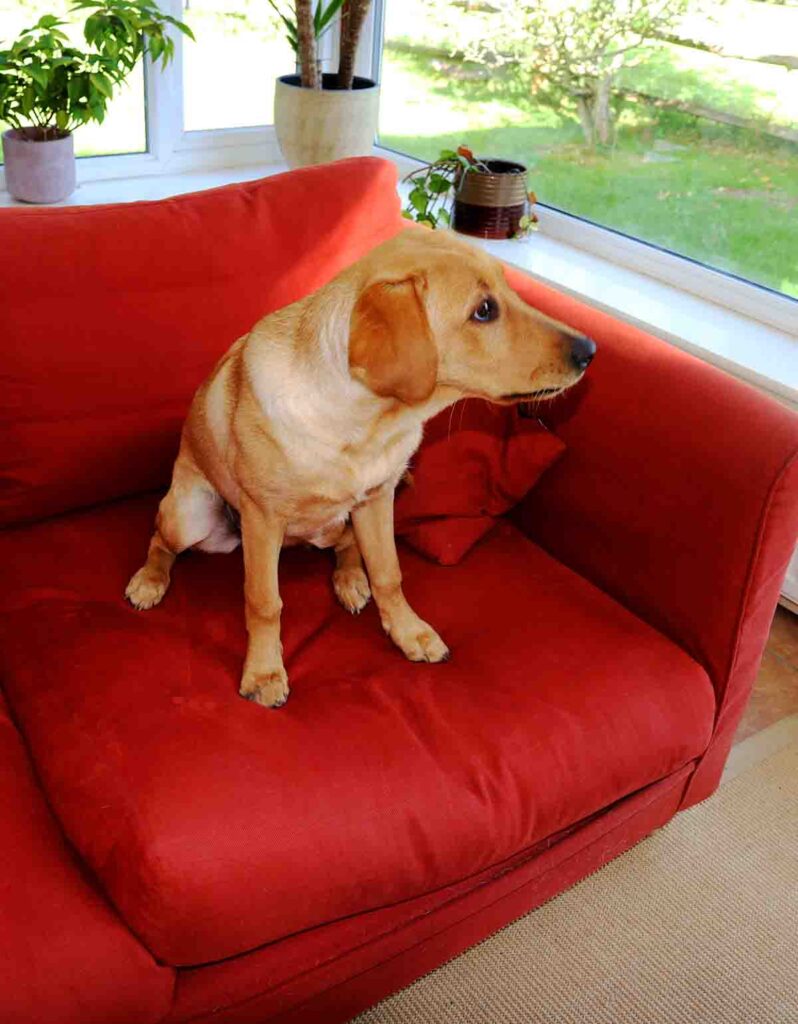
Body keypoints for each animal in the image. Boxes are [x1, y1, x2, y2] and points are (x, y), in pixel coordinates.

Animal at [128, 229, 594, 708]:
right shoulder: (262, 519)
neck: (362, 425)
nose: (590, 351)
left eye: (508, 287)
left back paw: (351, 579)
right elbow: (264, 601)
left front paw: (408, 631)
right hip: (190, 516)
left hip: (342, 519)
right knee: (160, 540)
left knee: (348, 547)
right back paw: (149, 580)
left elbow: (388, 573)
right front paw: (263, 672)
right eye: (484, 310)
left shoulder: (377, 500)